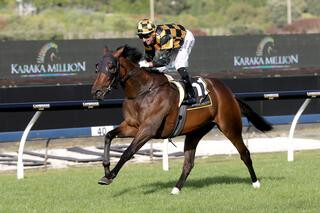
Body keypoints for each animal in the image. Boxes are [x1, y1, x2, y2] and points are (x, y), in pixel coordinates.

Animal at [90, 45, 272, 195]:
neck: (142, 92)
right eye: (97, 66)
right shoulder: (131, 126)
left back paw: (256, 183)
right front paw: (106, 169)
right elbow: (108, 136)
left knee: (244, 153)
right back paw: (176, 189)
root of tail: (229, 93)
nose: (96, 91)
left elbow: (128, 152)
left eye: (111, 67)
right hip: (195, 132)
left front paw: (109, 176)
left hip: (229, 126)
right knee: (188, 163)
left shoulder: (148, 129)